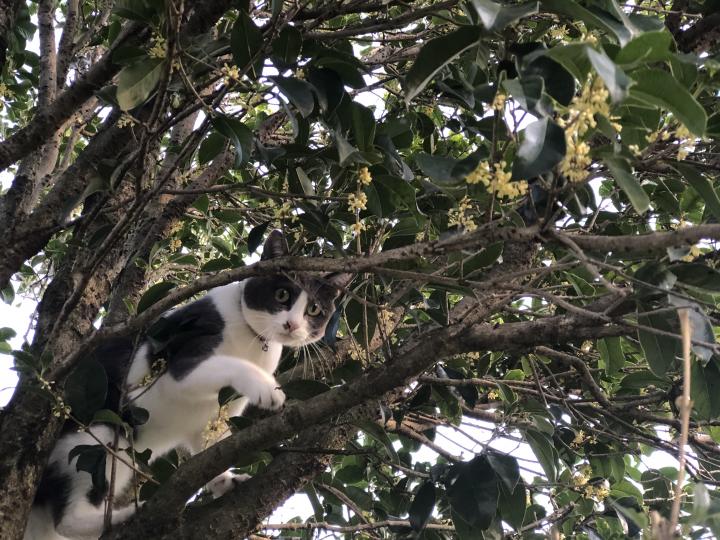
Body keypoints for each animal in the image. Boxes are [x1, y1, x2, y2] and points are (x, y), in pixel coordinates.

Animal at [26, 232, 352, 540]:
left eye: (314, 310)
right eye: (282, 294)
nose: (291, 325)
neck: (254, 341)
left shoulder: (221, 410)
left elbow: (209, 445)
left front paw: (224, 481)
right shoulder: (181, 358)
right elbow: (223, 366)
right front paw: (266, 388)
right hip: (99, 435)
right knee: (68, 517)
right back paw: (124, 515)